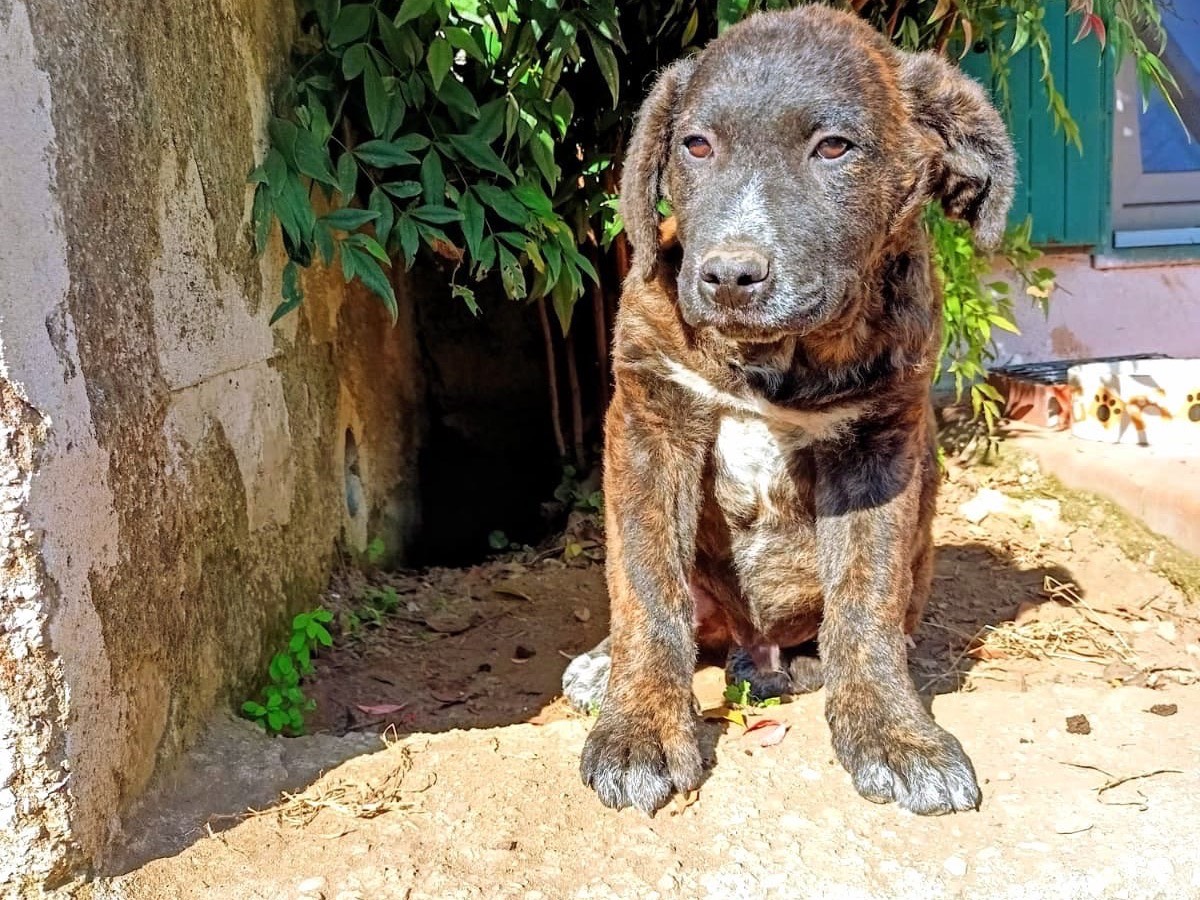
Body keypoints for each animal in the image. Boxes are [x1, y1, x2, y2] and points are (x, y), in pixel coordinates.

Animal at [566, 5, 1017, 816]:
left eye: (833, 147)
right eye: (696, 145)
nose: (727, 276)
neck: (776, 361)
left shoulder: (879, 448)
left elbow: (865, 602)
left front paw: (894, 733)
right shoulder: (650, 422)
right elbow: (647, 587)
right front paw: (640, 725)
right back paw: (606, 665)